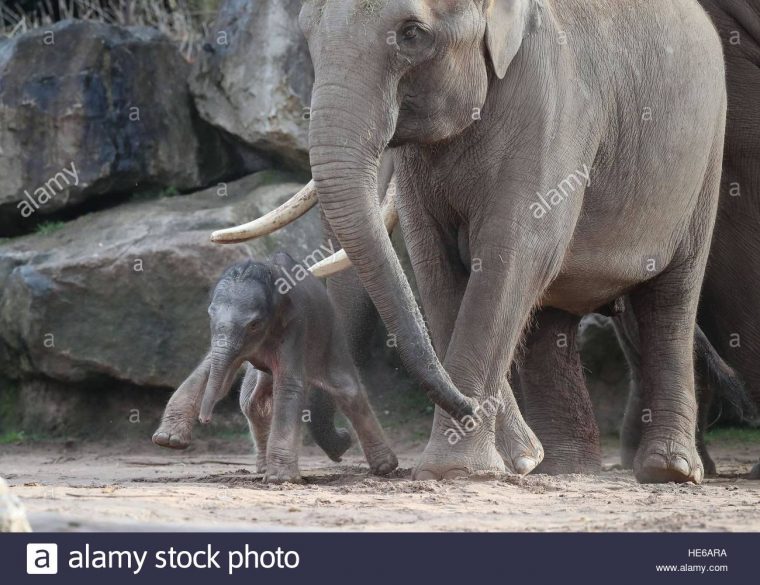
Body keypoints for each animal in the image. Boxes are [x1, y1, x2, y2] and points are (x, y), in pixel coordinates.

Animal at [155, 252, 398, 484]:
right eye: (209, 315)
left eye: (254, 324)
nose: (205, 420)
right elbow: (207, 372)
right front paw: (167, 440)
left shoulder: (296, 327)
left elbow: (289, 385)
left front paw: (280, 479)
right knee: (253, 401)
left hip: (330, 334)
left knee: (348, 390)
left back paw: (385, 467)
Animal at [212, 1, 724, 484]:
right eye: (307, 34)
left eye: (412, 34)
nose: (340, 444)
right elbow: (435, 265)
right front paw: (512, 459)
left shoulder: (554, 103)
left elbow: (516, 252)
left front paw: (457, 469)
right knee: (552, 319)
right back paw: (561, 468)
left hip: (706, 160)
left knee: (672, 300)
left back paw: (669, 471)